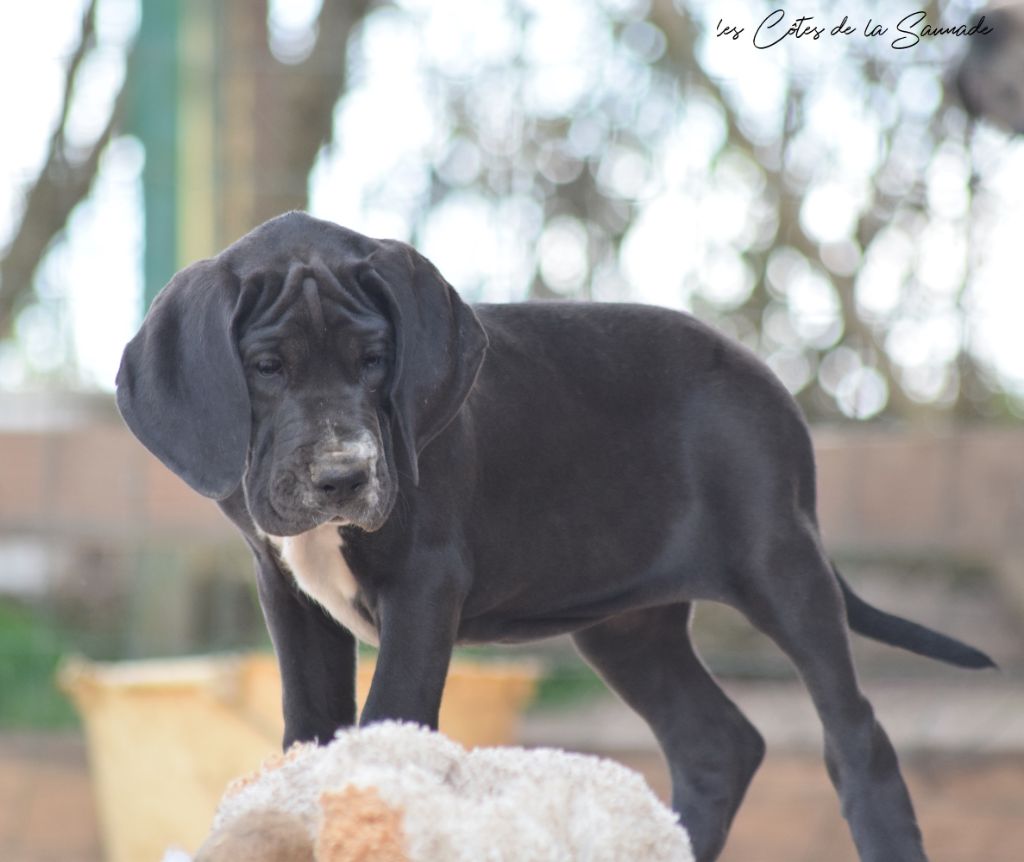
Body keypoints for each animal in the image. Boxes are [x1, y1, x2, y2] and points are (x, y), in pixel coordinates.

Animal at [117, 211, 994, 862]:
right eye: (267, 366)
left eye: (375, 360)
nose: (344, 476)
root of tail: (770, 385)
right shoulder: (289, 596)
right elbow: (309, 732)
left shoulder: (425, 586)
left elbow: (387, 724)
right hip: (628, 625)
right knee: (717, 743)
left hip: (781, 565)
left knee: (857, 741)